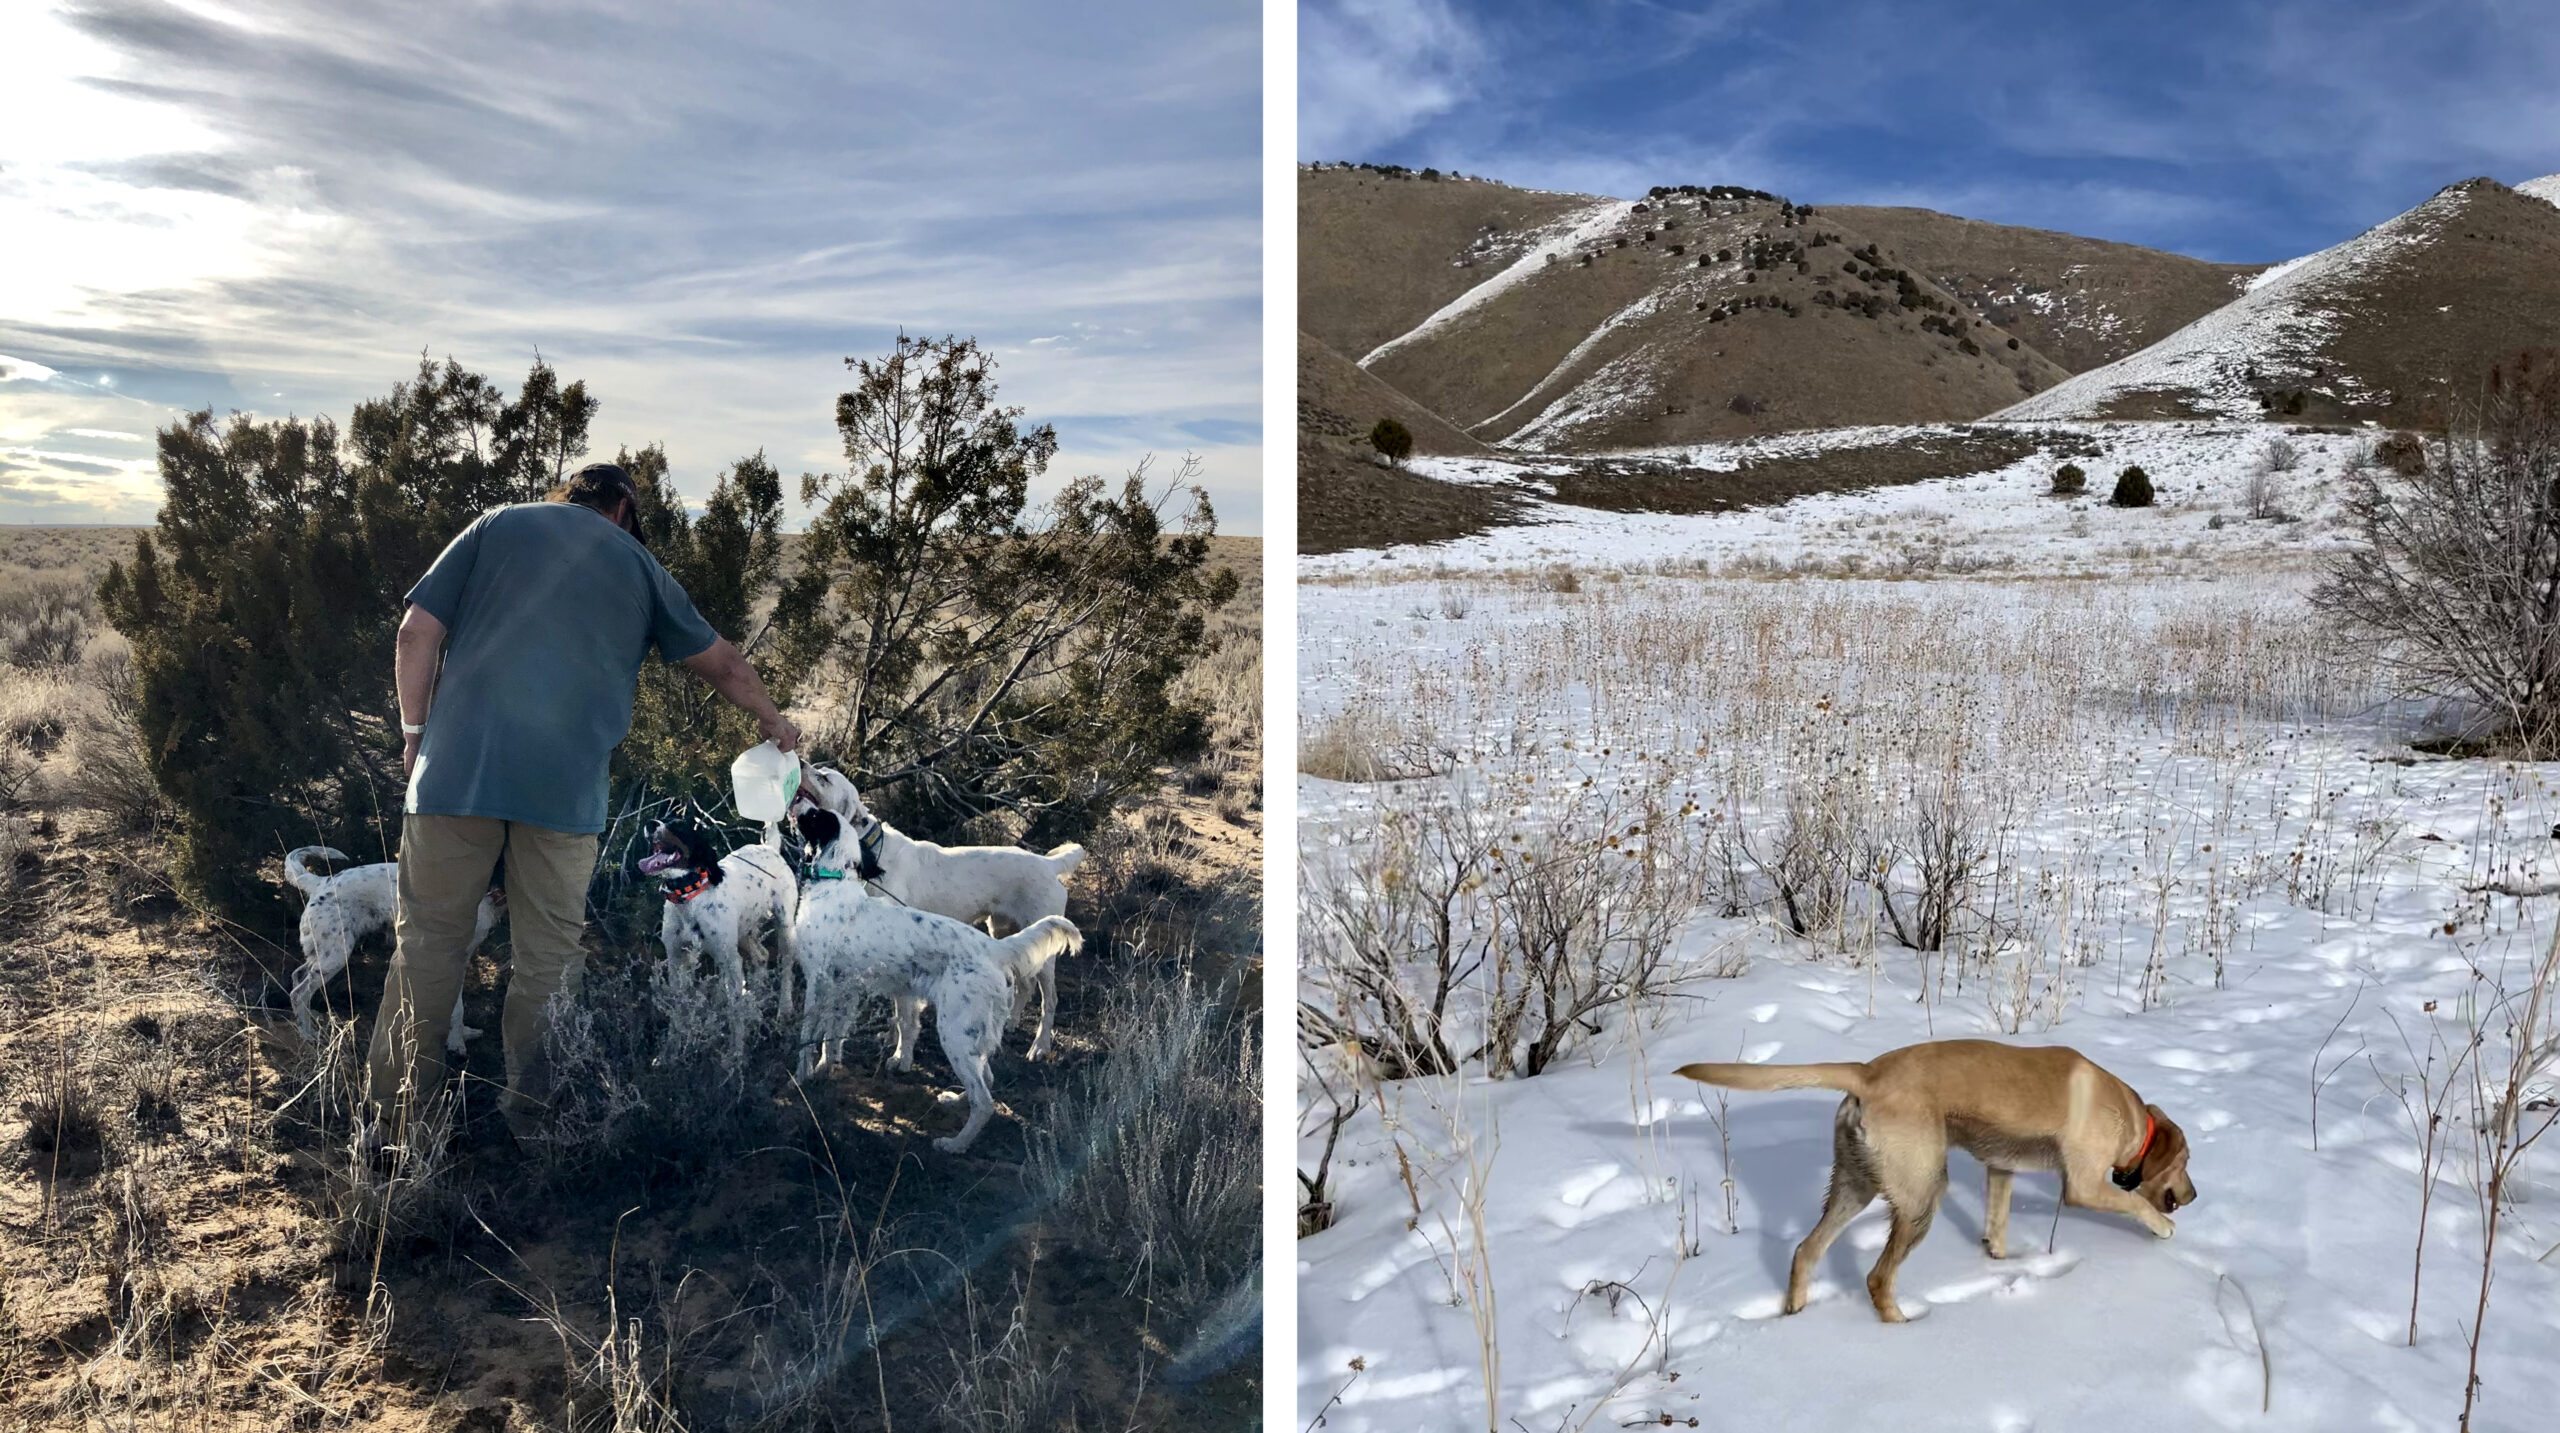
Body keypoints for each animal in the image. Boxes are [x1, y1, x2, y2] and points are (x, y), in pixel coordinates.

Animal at [281, 844, 499, 1049]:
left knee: (297, 976)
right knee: (298, 993)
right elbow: (457, 1007)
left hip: (323, 953)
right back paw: (307, 1034)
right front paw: (456, 1043)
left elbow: (456, 1006)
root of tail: (321, 882)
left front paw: (462, 1035)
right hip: (335, 955)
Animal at [632, 823, 798, 1033]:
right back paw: (757, 1002)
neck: (689, 898)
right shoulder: (676, 958)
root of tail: (770, 848)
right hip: (742, 933)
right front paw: (673, 1039)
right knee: (762, 956)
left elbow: (735, 1014)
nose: (650, 823)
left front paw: (737, 1041)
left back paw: (784, 1009)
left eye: (678, 826)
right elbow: (678, 1008)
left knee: (786, 968)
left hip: (784, 927)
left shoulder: (730, 960)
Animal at [793, 767, 1085, 1059]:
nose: (804, 763)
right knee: (1025, 985)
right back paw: (1012, 1023)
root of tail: (1049, 863)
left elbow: (902, 1006)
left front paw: (899, 1049)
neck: (873, 851)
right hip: (1003, 930)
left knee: (1050, 999)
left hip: (1045, 957)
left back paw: (1040, 1045)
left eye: (824, 778)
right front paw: (892, 1038)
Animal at [793, 808, 1085, 1151]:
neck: (834, 886)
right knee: (985, 1079)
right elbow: (832, 1036)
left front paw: (802, 1074)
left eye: (814, 816)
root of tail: (993, 949)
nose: (796, 808)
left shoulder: (818, 981)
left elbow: (809, 1035)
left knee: (985, 1101)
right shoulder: (845, 988)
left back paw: (955, 1144)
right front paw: (826, 1067)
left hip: (955, 1031)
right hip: (973, 1030)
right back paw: (955, 1100)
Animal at [1679, 1038, 2201, 1320]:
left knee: (1806, 1250)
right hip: (1921, 1194)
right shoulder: (2084, 1185)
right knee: (1877, 1278)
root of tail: (1867, 1073)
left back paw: (1795, 1312)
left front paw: (2001, 1259)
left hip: (1854, 1184)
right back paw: (1905, 1325)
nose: (2195, 1195)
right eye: (2185, 1161)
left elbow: (1998, 1224)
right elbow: (2136, 1204)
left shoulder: (2001, 1168)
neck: (2133, 1121)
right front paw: (2164, 1227)